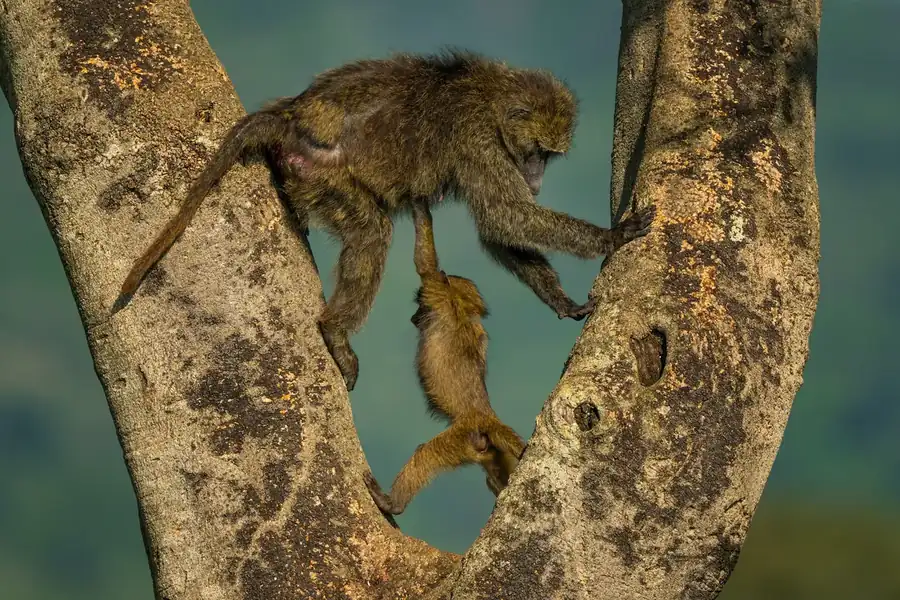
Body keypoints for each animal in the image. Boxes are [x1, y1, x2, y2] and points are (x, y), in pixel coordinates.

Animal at [114, 50, 655, 391]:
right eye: (538, 152)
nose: (538, 178)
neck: (491, 95)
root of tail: (292, 116)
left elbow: (500, 232)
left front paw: (561, 301)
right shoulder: (478, 139)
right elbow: (506, 218)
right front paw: (614, 236)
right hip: (323, 173)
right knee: (373, 233)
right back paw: (334, 331)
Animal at [364, 202, 526, 516]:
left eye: (419, 305)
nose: (413, 318)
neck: (463, 312)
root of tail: (486, 417)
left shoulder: (437, 292)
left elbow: (426, 264)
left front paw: (419, 204)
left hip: (463, 437)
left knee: (425, 455)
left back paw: (392, 502)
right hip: (485, 449)